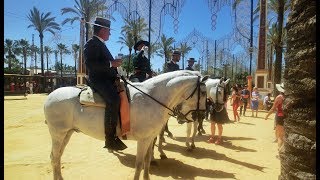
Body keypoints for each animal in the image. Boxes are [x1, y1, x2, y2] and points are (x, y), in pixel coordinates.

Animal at [43, 70, 208, 180]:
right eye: (204, 93)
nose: (201, 115)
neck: (151, 97)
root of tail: (50, 96)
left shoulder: (150, 138)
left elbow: (147, 161)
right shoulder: (143, 140)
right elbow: (139, 164)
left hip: (67, 133)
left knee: (56, 156)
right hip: (58, 134)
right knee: (55, 157)